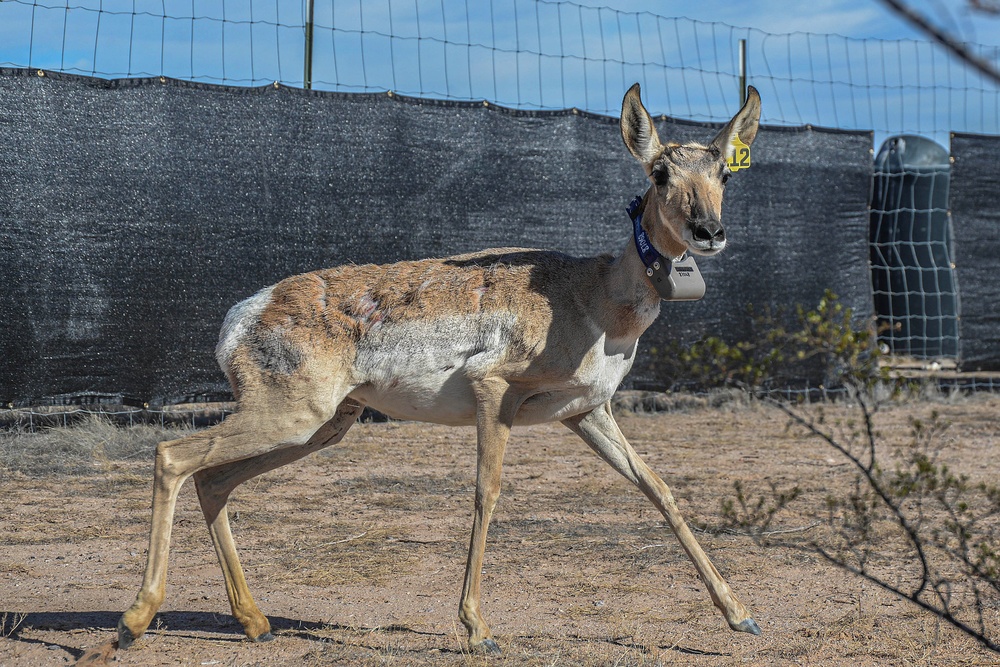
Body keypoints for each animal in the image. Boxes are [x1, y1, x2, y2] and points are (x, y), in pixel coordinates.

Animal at [117, 82, 756, 652]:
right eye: (660, 174)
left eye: (723, 174)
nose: (710, 232)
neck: (591, 293)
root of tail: (248, 310)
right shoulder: (494, 391)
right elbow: (486, 491)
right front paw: (476, 628)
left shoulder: (586, 412)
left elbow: (658, 489)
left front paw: (740, 614)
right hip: (290, 418)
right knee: (172, 456)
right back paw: (134, 620)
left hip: (320, 428)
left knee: (212, 480)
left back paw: (254, 622)